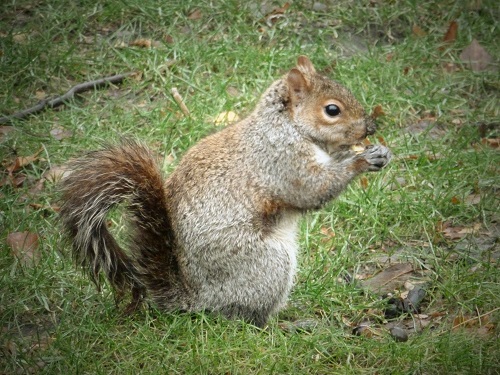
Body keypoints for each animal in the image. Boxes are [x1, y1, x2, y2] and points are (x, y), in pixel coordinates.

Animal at [60, 56, 392, 328]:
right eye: (332, 110)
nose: (369, 128)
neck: (286, 125)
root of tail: (195, 300)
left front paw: (377, 152)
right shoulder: (282, 161)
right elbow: (313, 188)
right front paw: (362, 160)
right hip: (266, 264)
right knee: (243, 315)